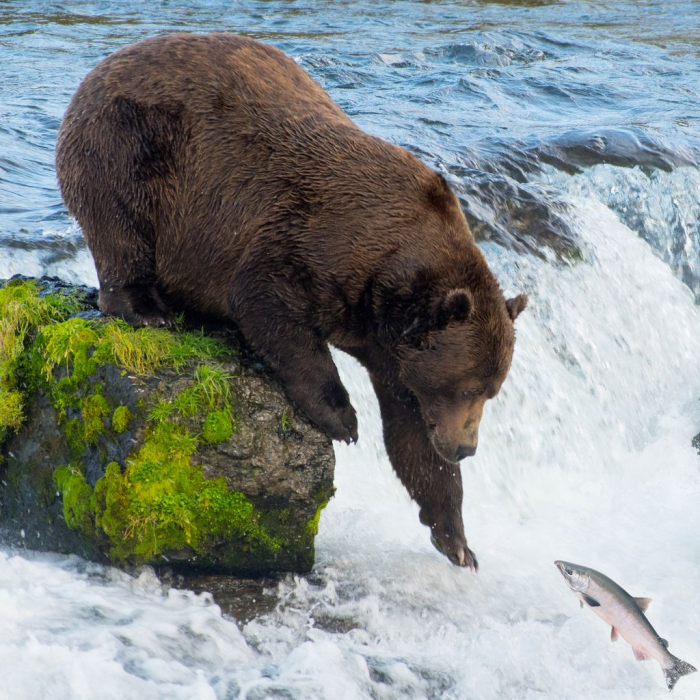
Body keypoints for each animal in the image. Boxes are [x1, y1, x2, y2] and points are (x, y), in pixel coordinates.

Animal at [56, 32, 524, 568]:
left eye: (490, 391)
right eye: (466, 386)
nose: (466, 447)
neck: (389, 283)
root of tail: (100, 67)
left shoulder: (396, 352)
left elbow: (411, 434)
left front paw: (457, 539)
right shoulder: (314, 239)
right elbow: (268, 304)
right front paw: (342, 416)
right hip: (131, 146)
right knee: (121, 224)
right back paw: (149, 309)